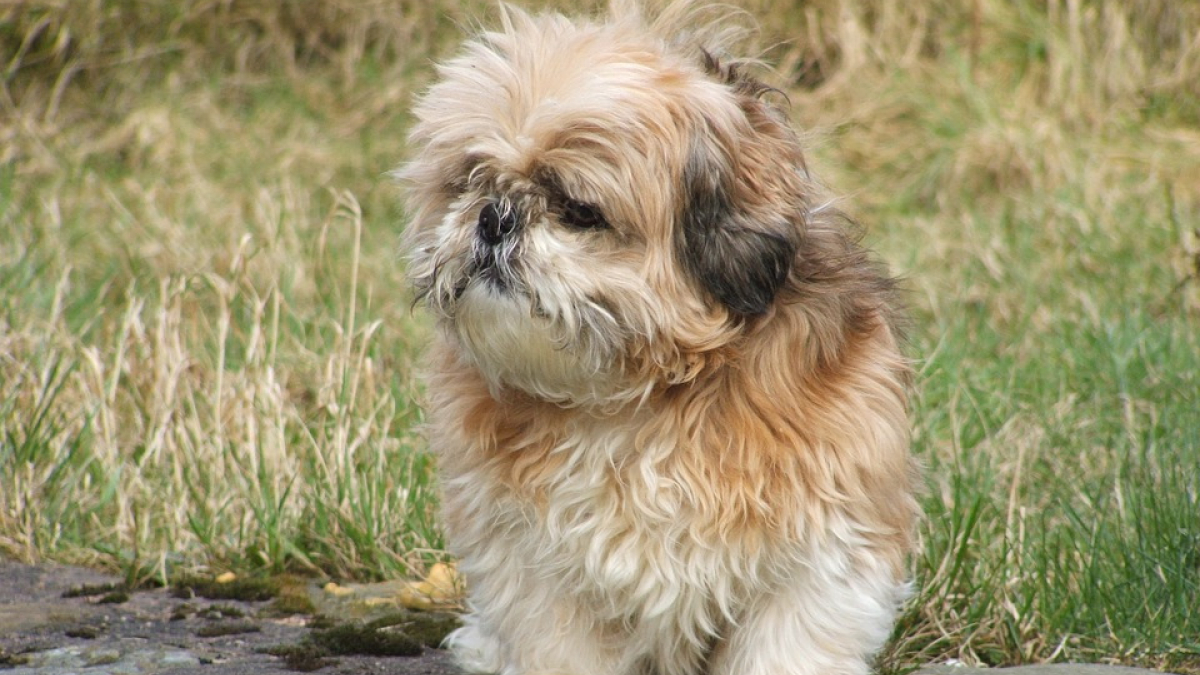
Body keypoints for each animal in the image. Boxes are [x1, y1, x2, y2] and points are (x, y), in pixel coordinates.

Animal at [400, 1, 916, 672]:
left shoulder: (818, 560)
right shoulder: (536, 575)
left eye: (579, 210)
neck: (639, 400)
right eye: (470, 182)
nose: (495, 218)